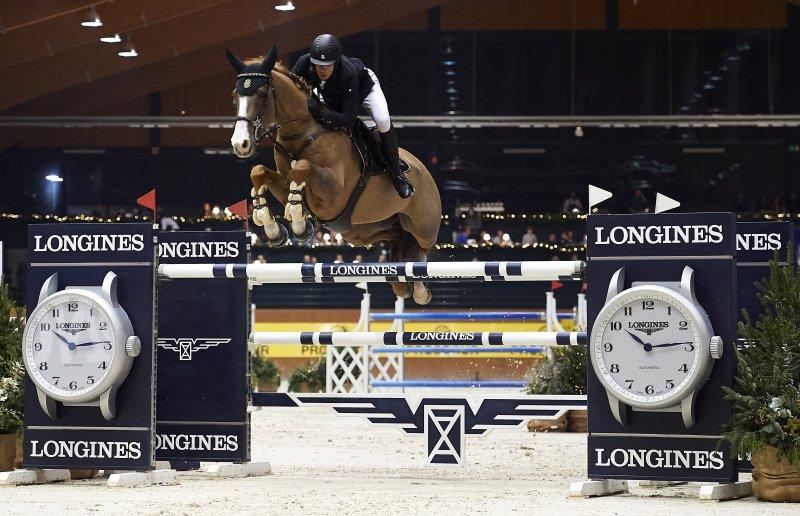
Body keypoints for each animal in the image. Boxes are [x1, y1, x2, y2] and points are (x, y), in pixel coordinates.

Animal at [226, 45, 441, 305]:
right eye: (235, 96)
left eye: (261, 93)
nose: (240, 145)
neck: (302, 133)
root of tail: (425, 172)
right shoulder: (286, 182)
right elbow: (259, 172)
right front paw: (274, 228)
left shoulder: (333, 195)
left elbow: (303, 167)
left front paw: (299, 222)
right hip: (360, 230)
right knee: (399, 244)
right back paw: (401, 282)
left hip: (423, 227)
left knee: (421, 249)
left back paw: (418, 285)